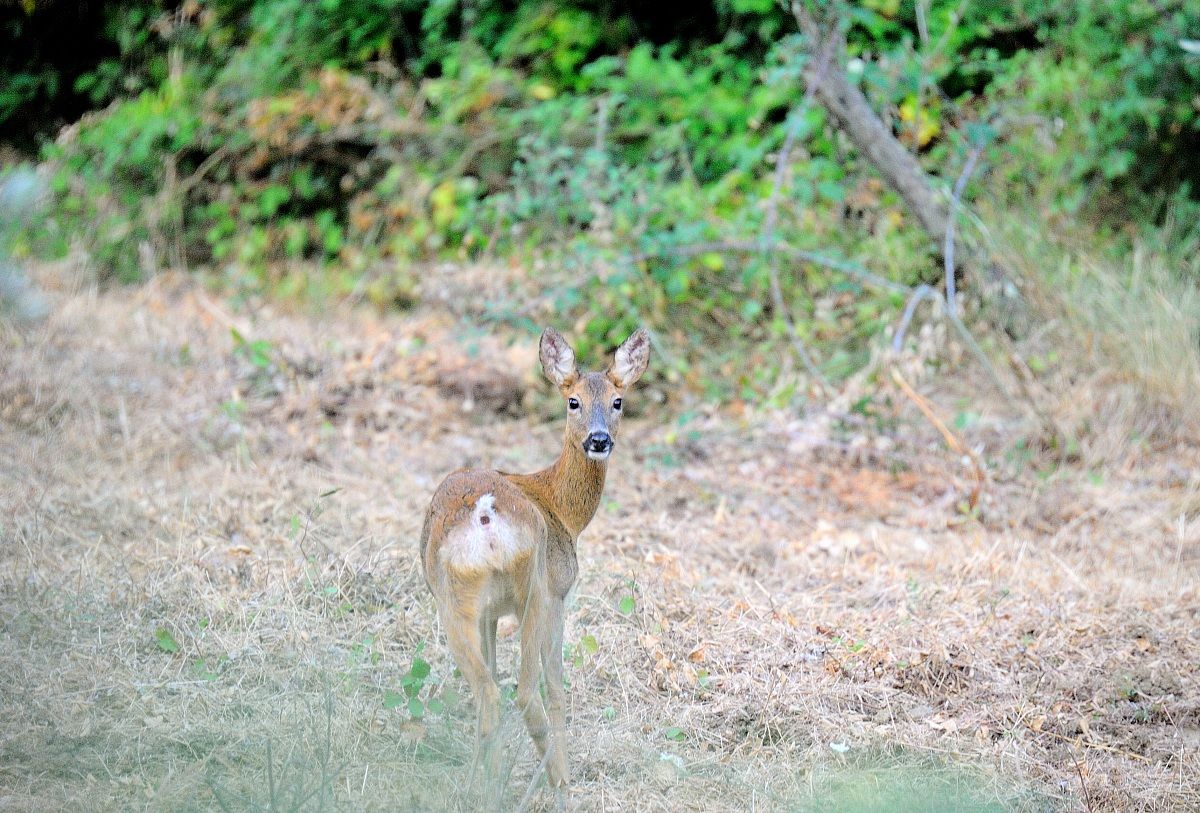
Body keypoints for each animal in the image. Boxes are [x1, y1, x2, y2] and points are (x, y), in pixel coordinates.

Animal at [419, 326, 650, 789]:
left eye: (618, 401)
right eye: (573, 401)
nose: (599, 440)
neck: (561, 509)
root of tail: (485, 512)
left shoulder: (490, 613)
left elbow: (492, 669)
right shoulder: (560, 591)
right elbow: (557, 687)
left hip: (458, 598)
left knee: (488, 691)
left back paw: (479, 788)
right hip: (535, 591)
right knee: (525, 692)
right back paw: (556, 782)